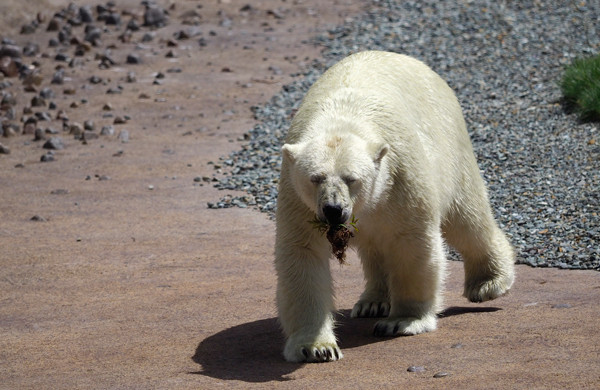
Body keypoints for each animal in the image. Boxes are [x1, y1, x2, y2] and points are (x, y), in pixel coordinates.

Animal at [276, 51, 516, 362]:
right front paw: (316, 348)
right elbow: (302, 255)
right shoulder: (297, 198)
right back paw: (372, 301)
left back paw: (489, 283)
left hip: (451, 145)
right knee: (376, 245)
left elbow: (411, 243)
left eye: (351, 178)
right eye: (315, 178)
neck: (342, 117)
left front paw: (402, 321)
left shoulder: (400, 176)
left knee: (467, 218)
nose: (333, 209)